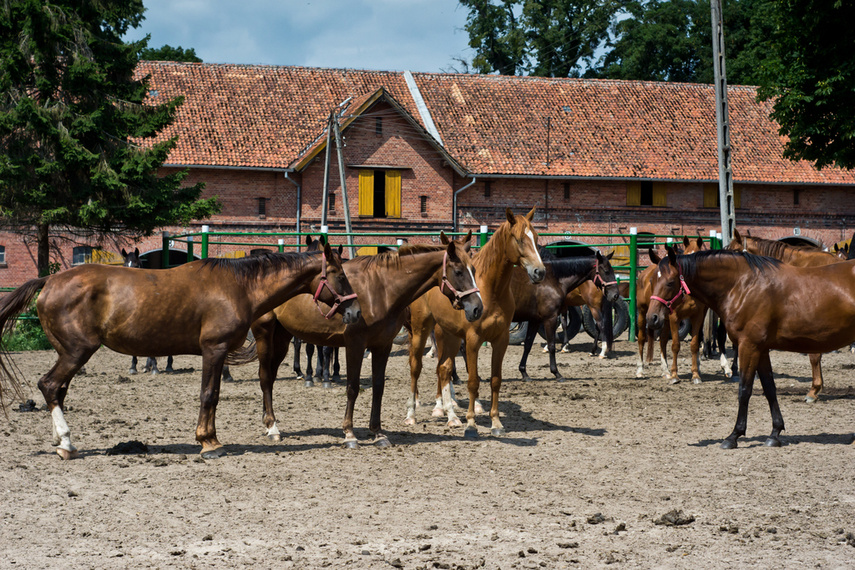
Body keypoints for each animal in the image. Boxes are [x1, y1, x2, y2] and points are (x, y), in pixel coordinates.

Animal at [0, 244, 360, 458]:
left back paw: (63, 441)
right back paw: (66, 443)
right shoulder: (214, 350)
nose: (355, 311)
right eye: (340, 275)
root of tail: (49, 281)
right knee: (49, 386)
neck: (238, 286)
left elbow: (213, 394)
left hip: (70, 354)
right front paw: (208, 442)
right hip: (77, 352)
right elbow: (209, 395)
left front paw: (211, 439)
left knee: (57, 390)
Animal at [227, 233, 484, 446]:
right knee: (264, 377)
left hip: (282, 336)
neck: (381, 289)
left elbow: (378, 387)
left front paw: (378, 433)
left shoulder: (382, 346)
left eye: (474, 268)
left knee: (270, 377)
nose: (477, 308)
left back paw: (269, 422)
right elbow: (352, 387)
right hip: (264, 333)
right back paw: (272, 427)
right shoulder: (355, 345)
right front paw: (349, 434)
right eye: (459, 272)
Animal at [404, 209, 544, 434]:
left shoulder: (500, 340)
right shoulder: (473, 340)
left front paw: (496, 422)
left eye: (537, 238)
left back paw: (450, 415)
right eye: (519, 239)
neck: (492, 290)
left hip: (449, 335)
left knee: (443, 368)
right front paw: (471, 422)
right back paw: (412, 414)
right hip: (421, 329)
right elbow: (472, 381)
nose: (540, 271)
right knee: (416, 367)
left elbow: (495, 380)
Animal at [512, 247, 620, 378]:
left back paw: (602, 351)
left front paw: (560, 347)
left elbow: (559, 326)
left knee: (600, 325)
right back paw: (594, 350)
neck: (554, 279)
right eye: (606, 271)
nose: (615, 294)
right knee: (599, 326)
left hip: (593, 306)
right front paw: (565, 346)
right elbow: (562, 323)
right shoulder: (560, 308)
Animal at [648, 248, 855, 448]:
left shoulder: (749, 346)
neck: (742, 286)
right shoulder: (761, 350)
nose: (652, 318)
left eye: (670, 282)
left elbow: (744, 390)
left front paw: (734, 436)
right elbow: (769, 388)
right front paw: (775, 434)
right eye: (651, 280)